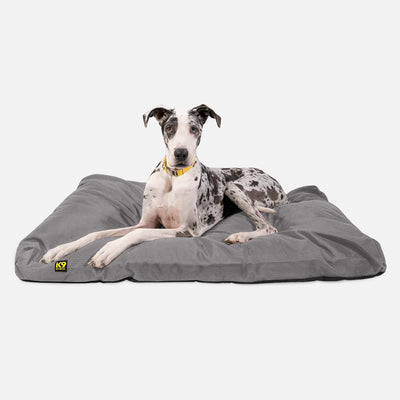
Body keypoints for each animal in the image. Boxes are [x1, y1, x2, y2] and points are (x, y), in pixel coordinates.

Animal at [40, 105, 288, 268]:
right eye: (169, 128)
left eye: (194, 129)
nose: (181, 153)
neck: (173, 177)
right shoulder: (146, 222)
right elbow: (97, 232)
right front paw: (61, 248)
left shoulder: (186, 231)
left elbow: (135, 235)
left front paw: (108, 249)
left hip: (233, 188)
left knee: (269, 228)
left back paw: (240, 236)